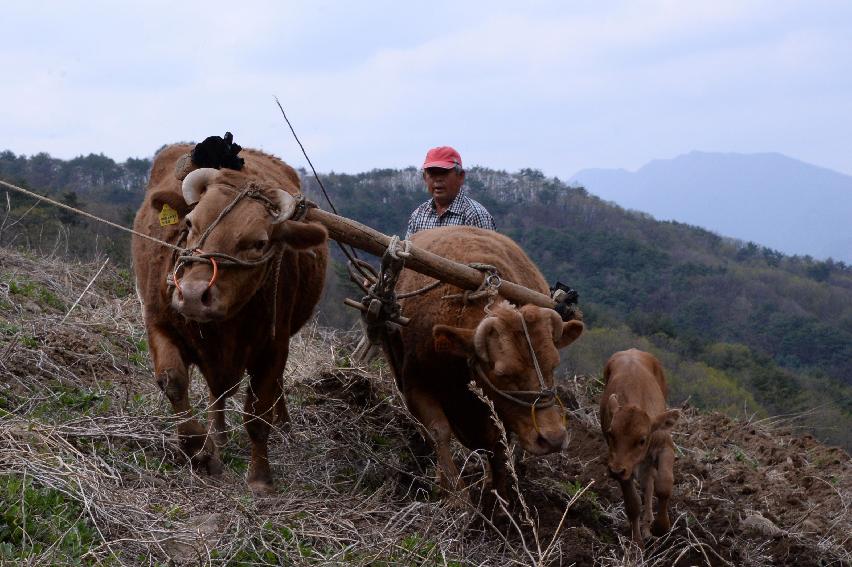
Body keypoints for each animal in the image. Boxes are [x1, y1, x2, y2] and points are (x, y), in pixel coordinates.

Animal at [604, 350, 684, 552]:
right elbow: (633, 504)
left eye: (642, 439)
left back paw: (649, 526)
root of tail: (631, 351)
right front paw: (637, 544)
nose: (615, 471)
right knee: (647, 484)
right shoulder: (623, 466)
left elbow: (664, 485)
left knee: (650, 483)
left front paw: (660, 526)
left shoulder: (666, 445)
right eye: (611, 433)